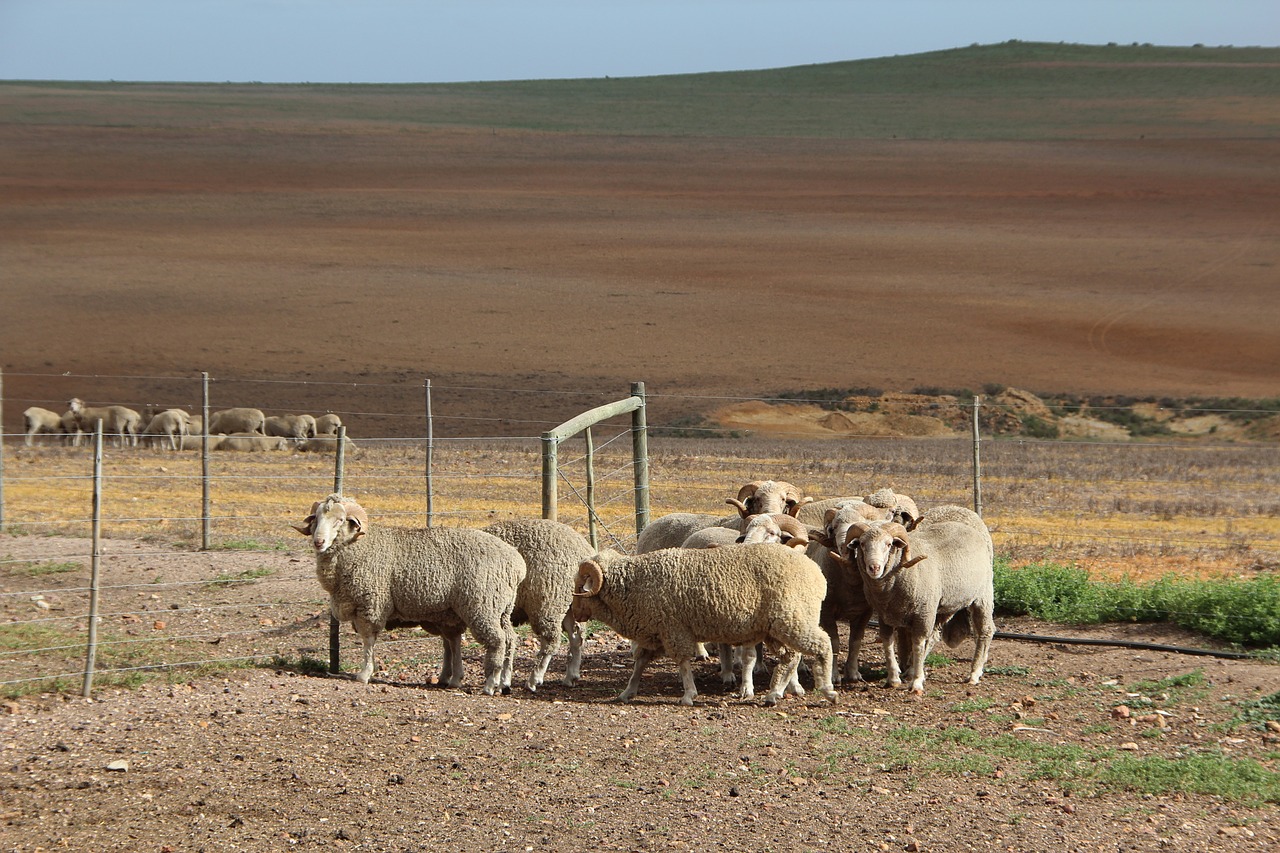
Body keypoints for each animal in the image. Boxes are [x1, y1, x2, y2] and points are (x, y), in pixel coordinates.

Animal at [294, 491, 524, 691]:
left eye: (340, 520)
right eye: (315, 518)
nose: (318, 542)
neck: (358, 545)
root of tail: (517, 563)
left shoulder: (371, 604)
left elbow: (368, 640)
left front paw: (364, 674)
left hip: (483, 605)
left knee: (497, 640)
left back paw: (491, 684)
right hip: (501, 608)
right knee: (509, 638)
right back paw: (503, 682)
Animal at [481, 514, 596, 686]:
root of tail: (583, 551)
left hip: (547, 602)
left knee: (551, 640)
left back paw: (535, 678)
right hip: (570, 603)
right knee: (576, 637)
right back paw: (571, 676)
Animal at [565, 545, 834, 701]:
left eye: (580, 586)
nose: (574, 613)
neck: (635, 584)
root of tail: (817, 573)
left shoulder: (674, 629)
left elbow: (683, 662)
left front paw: (688, 694)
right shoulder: (656, 633)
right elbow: (640, 662)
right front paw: (627, 692)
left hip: (792, 619)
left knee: (822, 644)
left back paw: (828, 689)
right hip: (776, 628)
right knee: (791, 656)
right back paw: (775, 692)